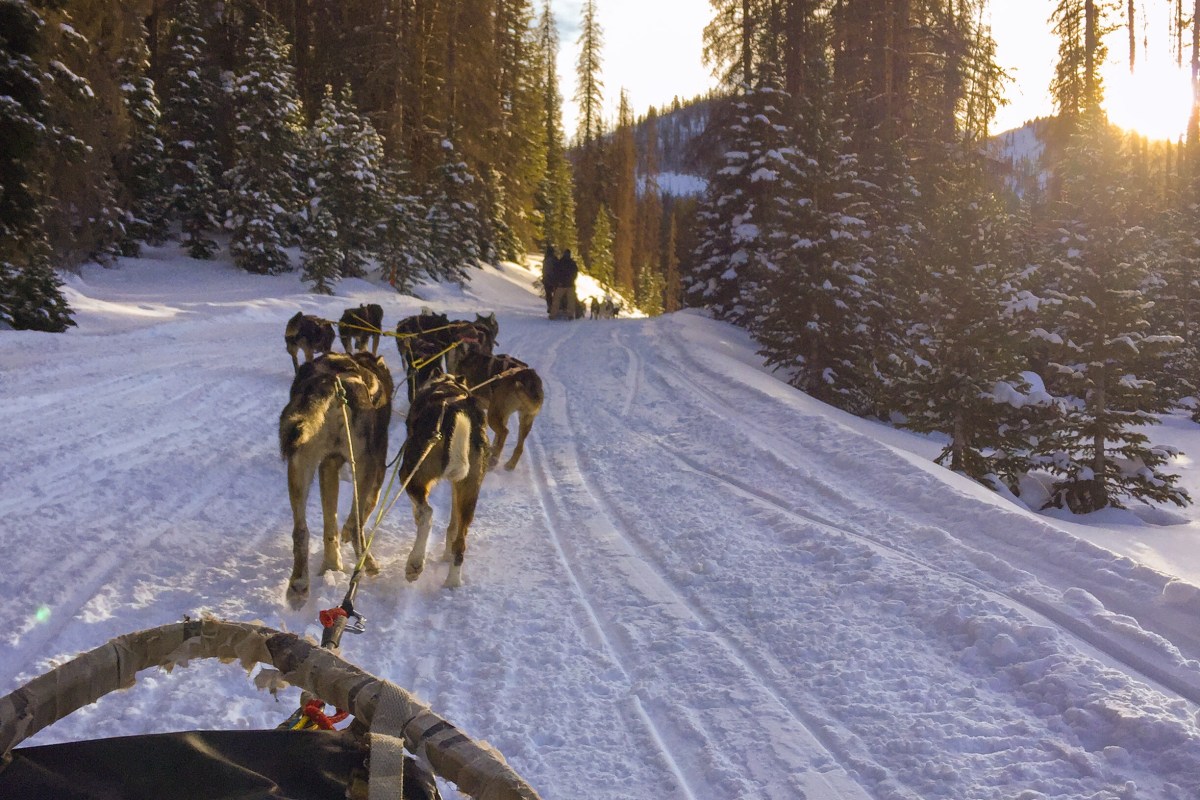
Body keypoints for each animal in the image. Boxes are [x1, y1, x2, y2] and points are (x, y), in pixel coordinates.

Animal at [279, 352, 394, 606]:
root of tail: (330, 381)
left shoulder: (327, 466)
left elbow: (330, 525)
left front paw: (331, 565)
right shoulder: (377, 465)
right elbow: (363, 511)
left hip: (300, 465)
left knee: (300, 531)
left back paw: (299, 584)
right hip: (363, 463)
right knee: (358, 522)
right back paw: (367, 562)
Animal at [398, 372, 489, 588]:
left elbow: (419, 510)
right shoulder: (457, 487)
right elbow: (453, 527)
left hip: (410, 474)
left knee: (428, 513)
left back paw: (414, 563)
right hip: (469, 490)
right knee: (460, 543)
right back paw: (452, 582)